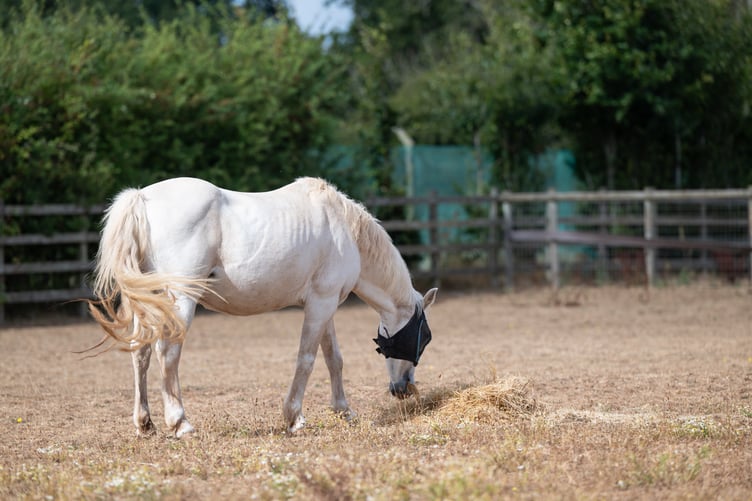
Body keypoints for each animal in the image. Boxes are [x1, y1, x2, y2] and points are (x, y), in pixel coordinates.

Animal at [88, 177, 438, 438]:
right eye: (423, 338)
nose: (404, 388)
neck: (344, 231)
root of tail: (141, 199)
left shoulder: (324, 304)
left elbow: (333, 359)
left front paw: (343, 410)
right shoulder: (320, 304)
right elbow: (307, 359)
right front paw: (294, 417)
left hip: (150, 299)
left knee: (141, 352)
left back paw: (145, 423)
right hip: (181, 300)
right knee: (168, 352)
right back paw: (181, 422)